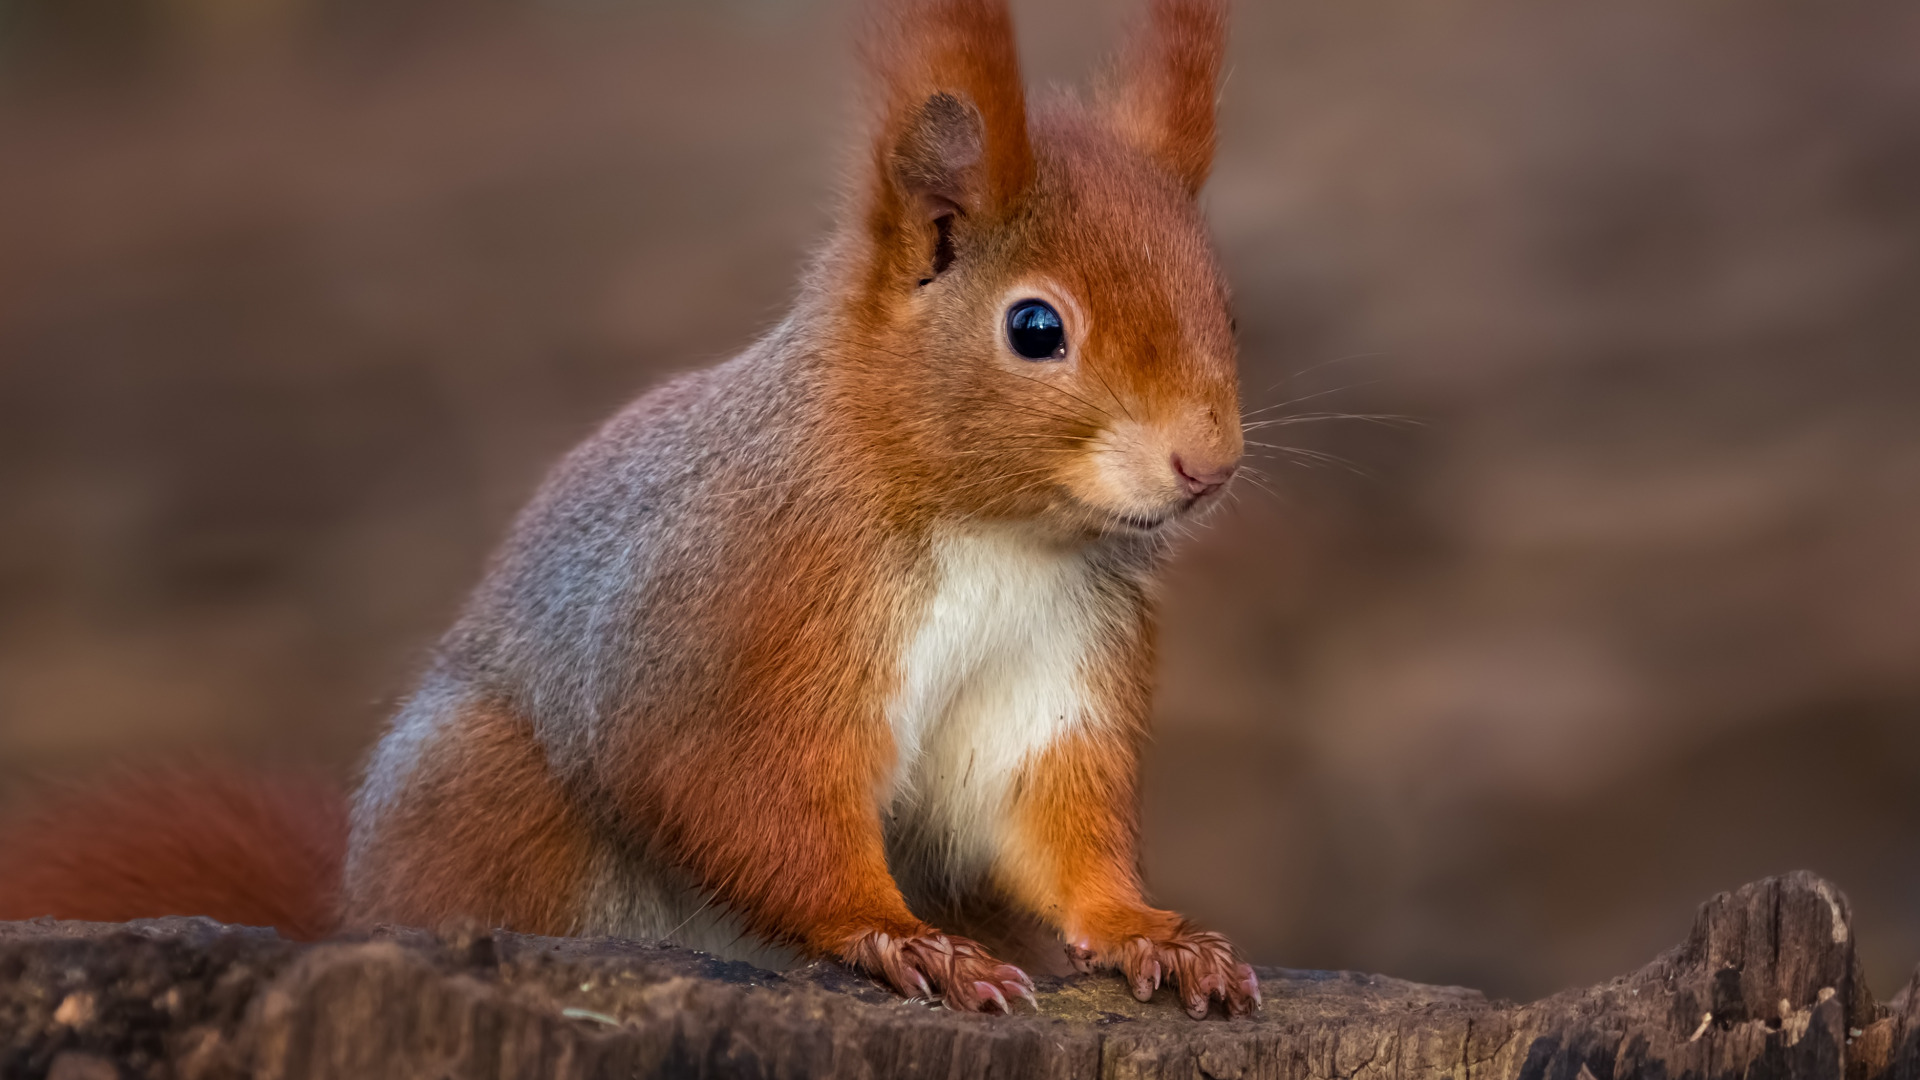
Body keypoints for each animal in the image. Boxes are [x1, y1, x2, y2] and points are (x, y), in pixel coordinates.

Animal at [0, 0, 1259, 1014]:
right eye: (1036, 328)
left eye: (1226, 307)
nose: (1208, 464)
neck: (994, 531)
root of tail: (353, 906)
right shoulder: (743, 622)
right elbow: (743, 799)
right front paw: (901, 939)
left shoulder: (1056, 671)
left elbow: (1055, 824)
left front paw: (1150, 933)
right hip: (490, 796)